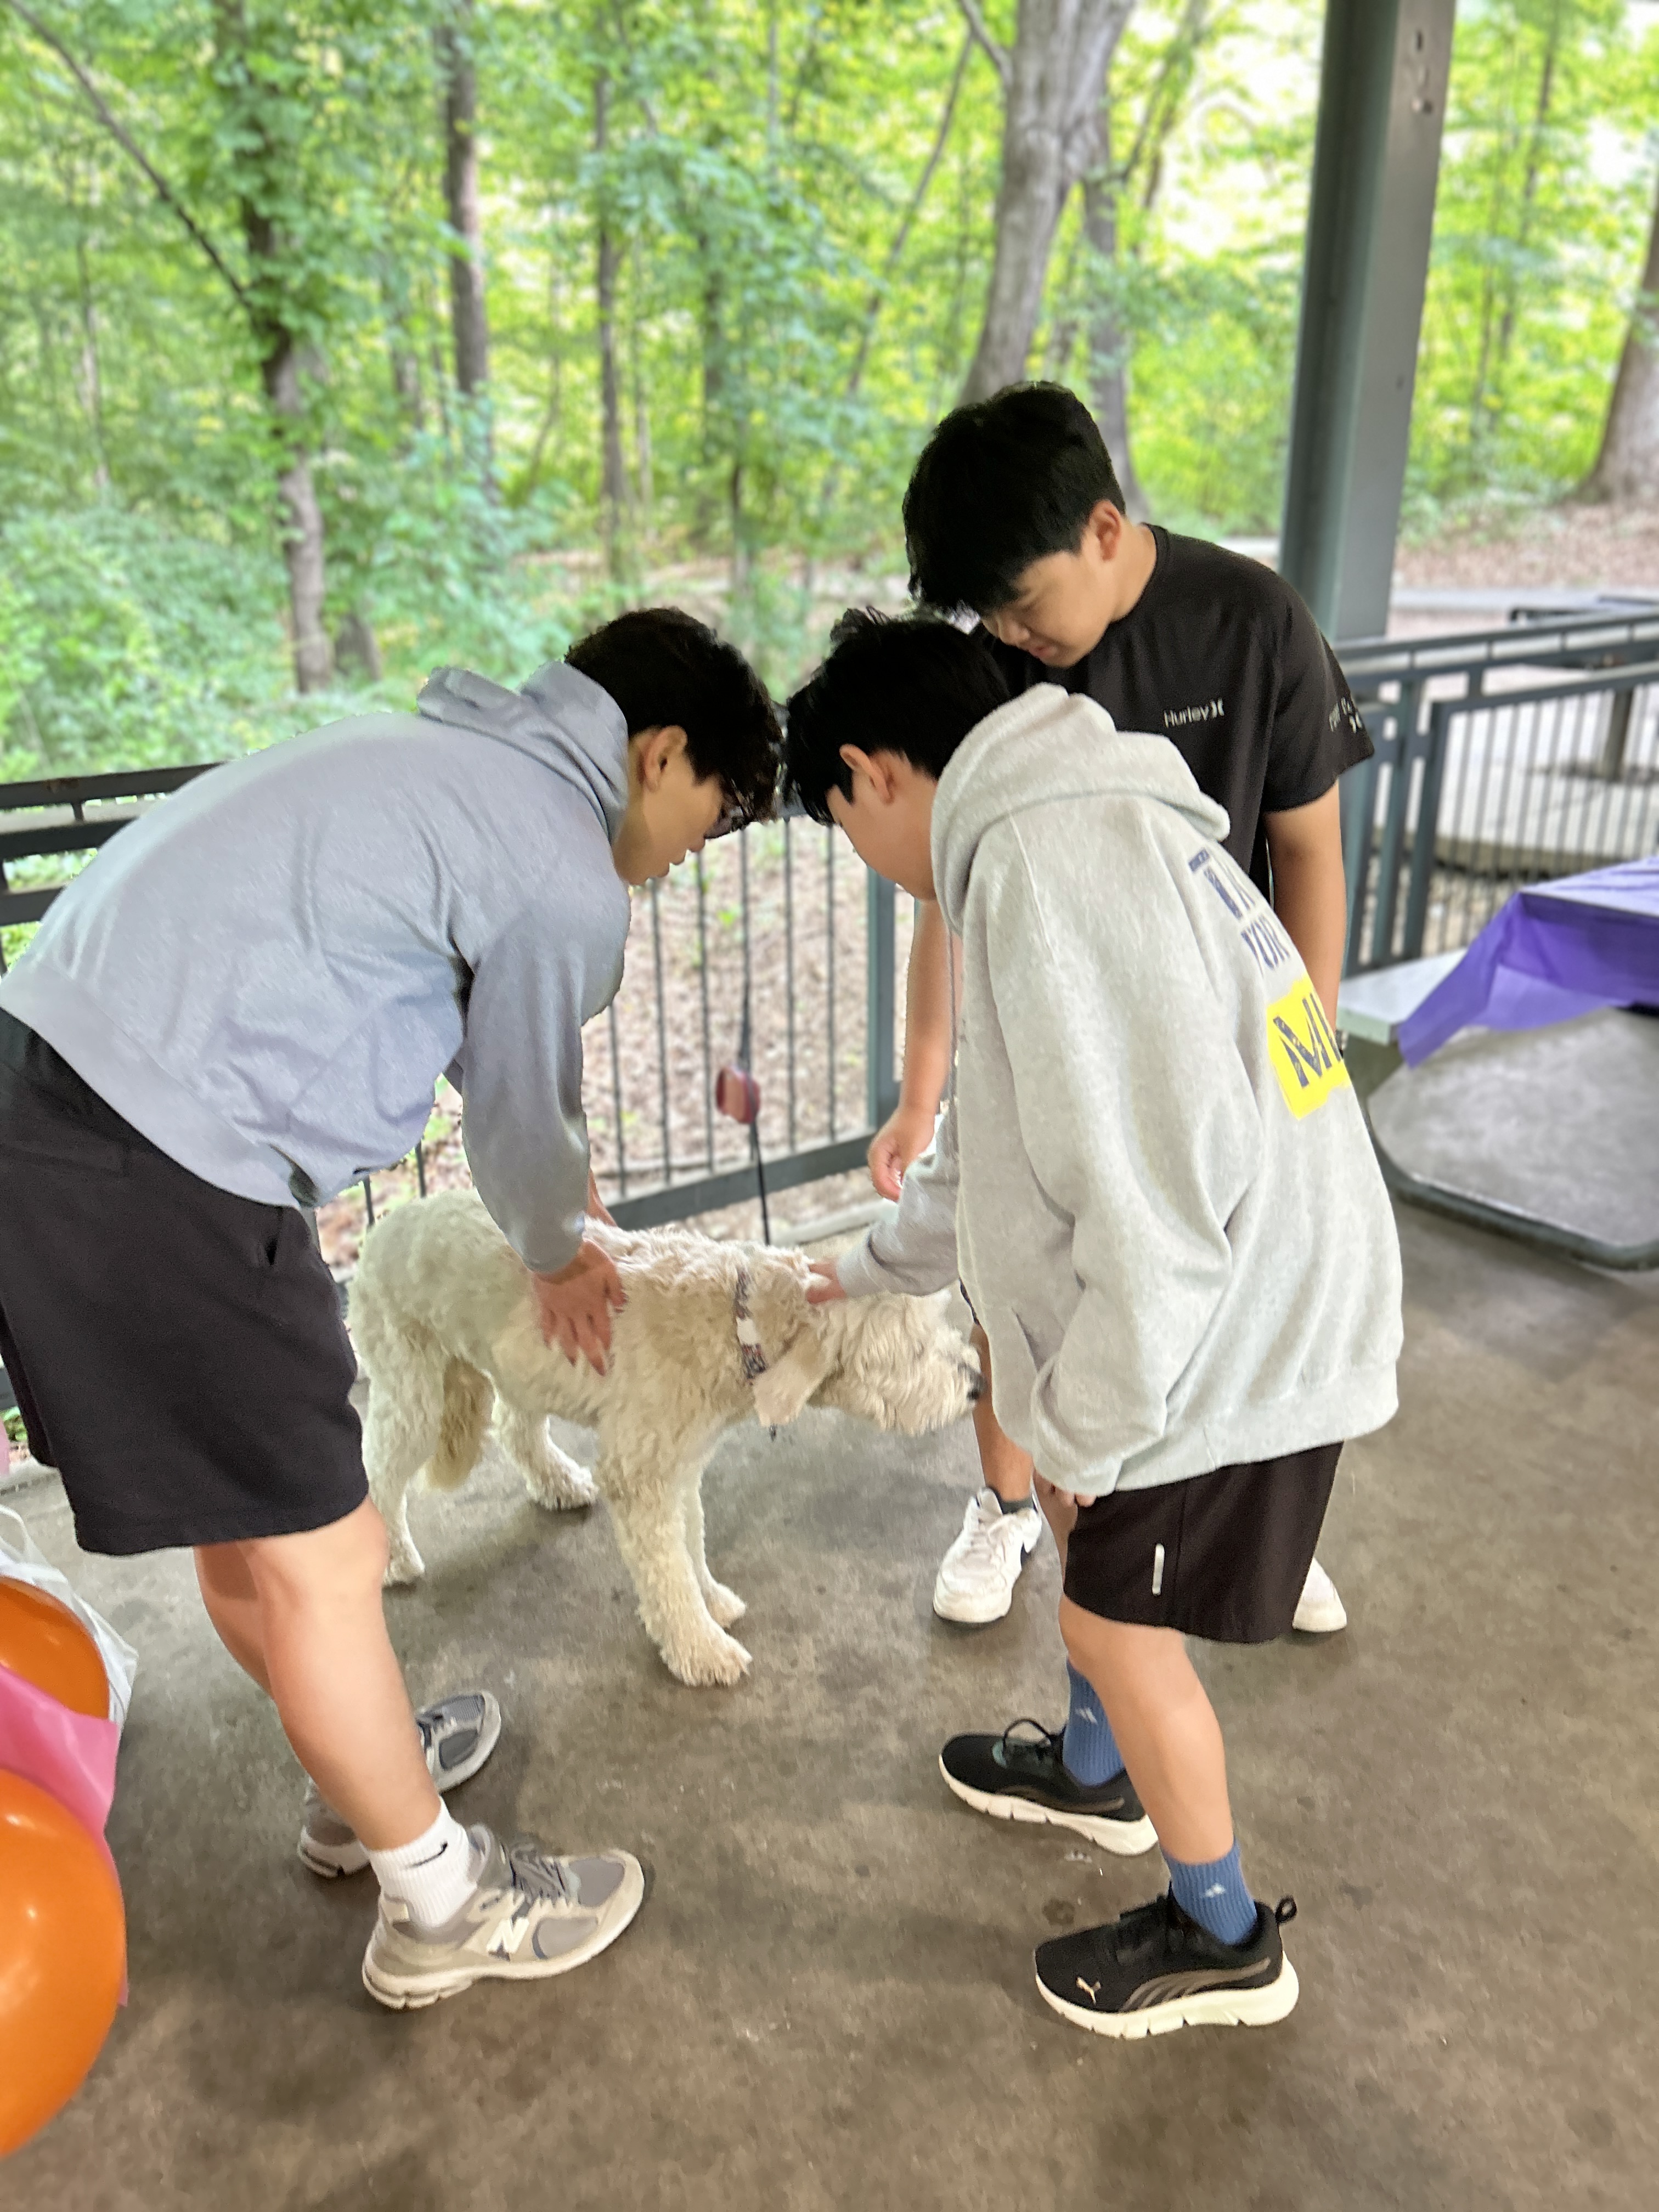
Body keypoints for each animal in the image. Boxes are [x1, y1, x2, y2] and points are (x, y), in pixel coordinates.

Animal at [351, 1190, 981, 1686]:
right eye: (915, 1350)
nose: (977, 1385)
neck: (733, 1322)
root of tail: (387, 1222)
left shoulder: (681, 1463)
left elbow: (691, 1543)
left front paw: (712, 1600)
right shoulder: (641, 1475)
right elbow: (667, 1570)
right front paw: (700, 1649)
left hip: (517, 1367)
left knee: (514, 1426)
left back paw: (557, 1482)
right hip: (413, 1387)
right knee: (378, 1467)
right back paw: (393, 1556)